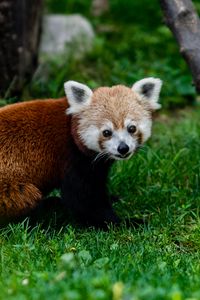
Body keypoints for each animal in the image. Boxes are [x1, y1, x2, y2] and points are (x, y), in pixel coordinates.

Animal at [0, 78, 162, 226]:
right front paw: (124, 222)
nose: (123, 148)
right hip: (13, 189)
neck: (71, 129)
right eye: (107, 132)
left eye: (131, 128)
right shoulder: (72, 159)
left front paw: (113, 199)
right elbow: (83, 200)